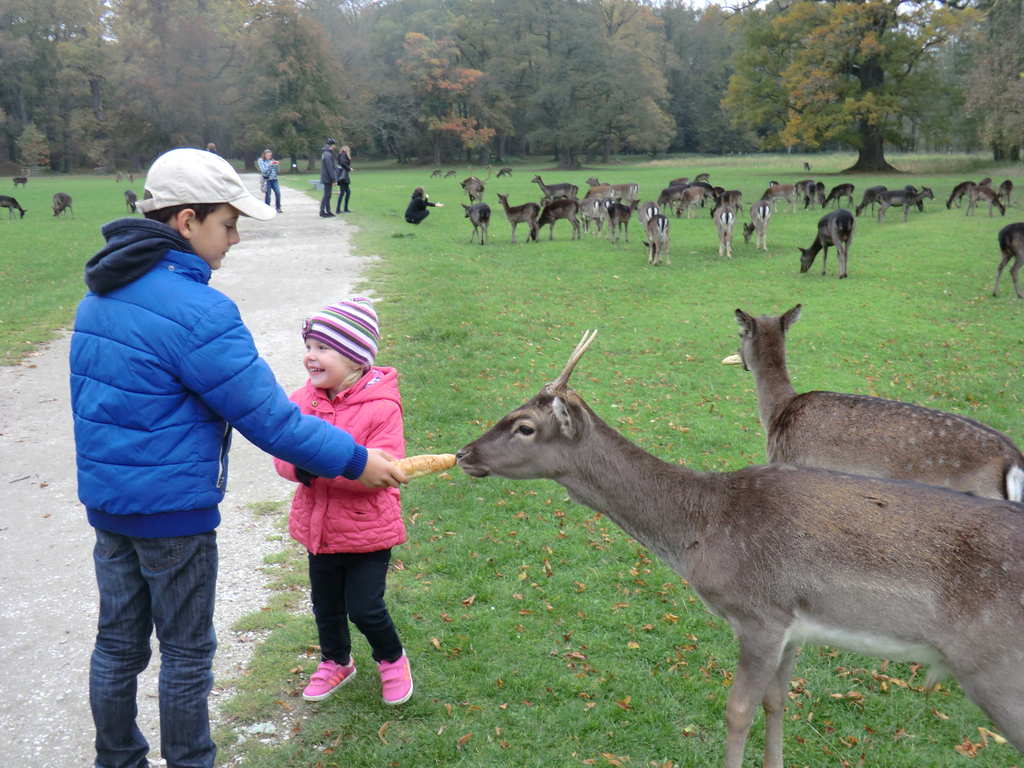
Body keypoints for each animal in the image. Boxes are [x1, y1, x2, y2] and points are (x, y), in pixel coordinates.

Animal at [458, 331, 1024, 768]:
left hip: (997, 666)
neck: (702, 529)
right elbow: (777, 701)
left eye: (525, 426)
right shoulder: (796, 624)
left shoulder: (760, 613)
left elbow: (736, 712)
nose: (463, 453)